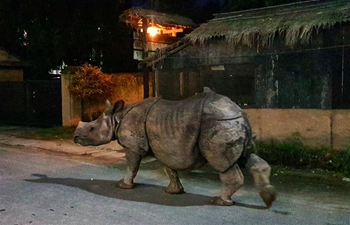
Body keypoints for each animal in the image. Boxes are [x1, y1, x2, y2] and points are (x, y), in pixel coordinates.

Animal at [74, 90, 276, 207]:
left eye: (92, 129)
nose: (75, 137)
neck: (117, 118)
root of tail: (240, 112)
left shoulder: (133, 146)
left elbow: (132, 166)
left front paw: (123, 186)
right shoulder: (163, 146)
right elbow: (169, 169)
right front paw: (173, 191)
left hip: (219, 124)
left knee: (223, 163)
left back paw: (219, 201)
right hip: (231, 123)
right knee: (247, 156)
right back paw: (269, 197)